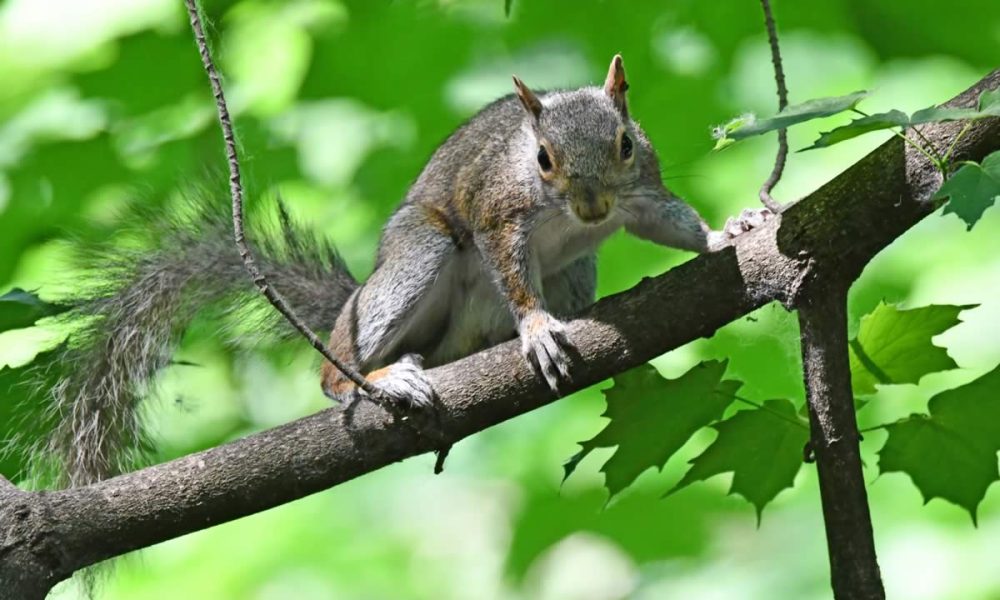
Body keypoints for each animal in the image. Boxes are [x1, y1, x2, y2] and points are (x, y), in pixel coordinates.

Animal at [31, 55, 764, 488]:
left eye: (625, 143)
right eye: (544, 158)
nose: (591, 208)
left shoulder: (640, 194)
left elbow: (668, 222)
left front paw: (727, 232)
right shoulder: (498, 215)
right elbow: (511, 269)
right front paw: (534, 329)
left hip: (576, 274)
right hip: (416, 258)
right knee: (333, 374)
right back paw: (382, 378)